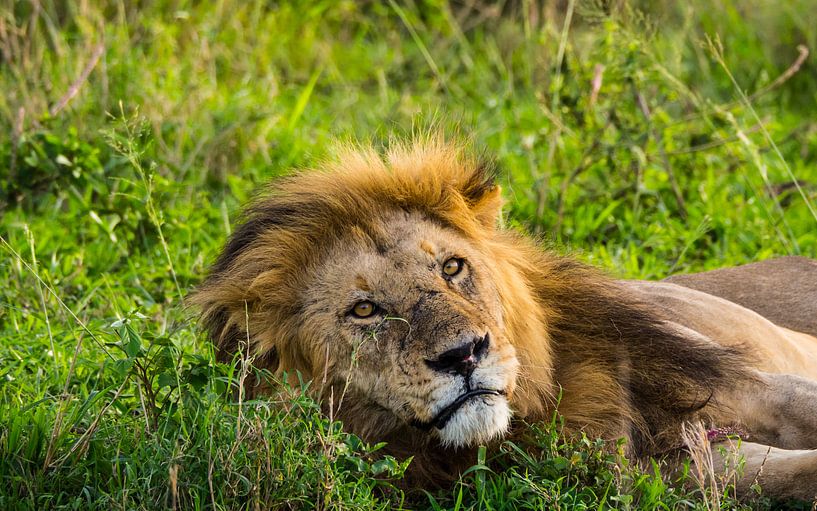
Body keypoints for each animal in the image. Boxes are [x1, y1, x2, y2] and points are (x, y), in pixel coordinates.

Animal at [193, 140, 817, 501]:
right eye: (365, 310)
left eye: (452, 267)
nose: (464, 355)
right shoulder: (682, 470)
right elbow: (790, 476)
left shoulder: (740, 388)